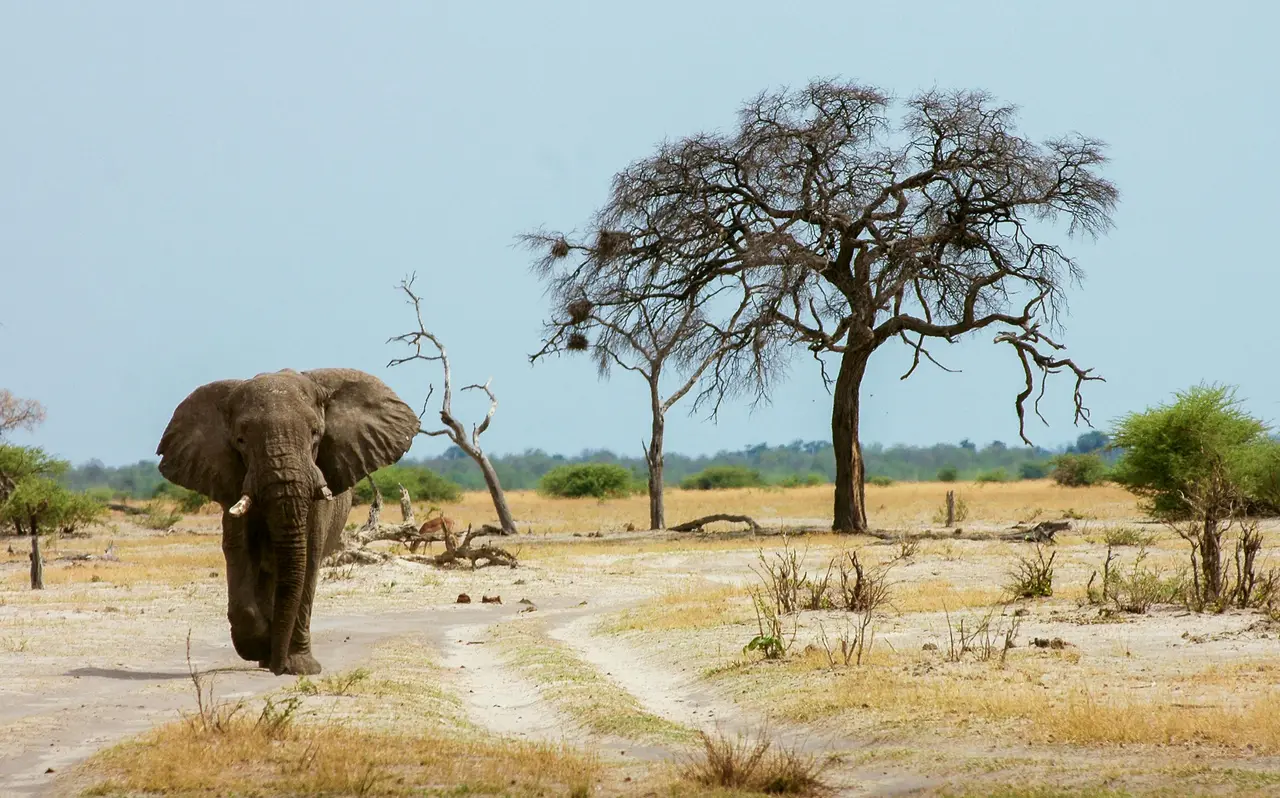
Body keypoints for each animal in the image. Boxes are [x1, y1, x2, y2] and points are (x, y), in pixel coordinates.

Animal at [156, 368, 420, 675]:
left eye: (316, 434)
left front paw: (299, 667)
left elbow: (308, 559)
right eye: (241, 441)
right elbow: (239, 551)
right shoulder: (231, 483)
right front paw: (257, 646)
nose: (277, 668)